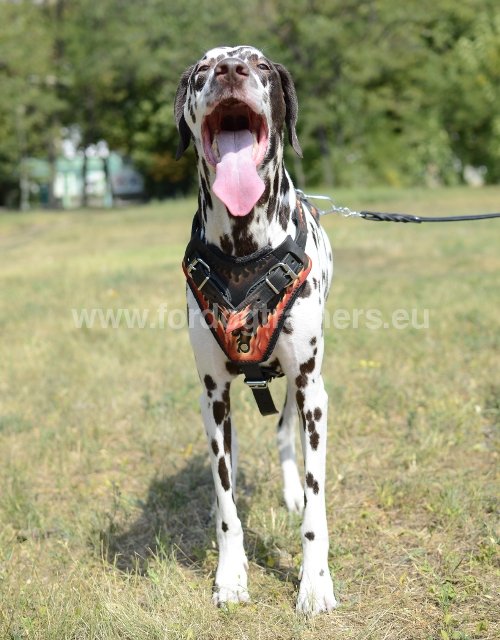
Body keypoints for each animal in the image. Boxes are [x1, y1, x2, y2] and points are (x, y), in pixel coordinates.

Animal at [175, 45, 336, 616]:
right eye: (202, 71)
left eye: (261, 65)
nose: (230, 71)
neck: (245, 250)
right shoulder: (214, 392)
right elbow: (227, 506)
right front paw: (230, 576)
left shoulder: (311, 389)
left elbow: (316, 506)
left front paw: (314, 583)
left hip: (296, 388)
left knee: (285, 434)